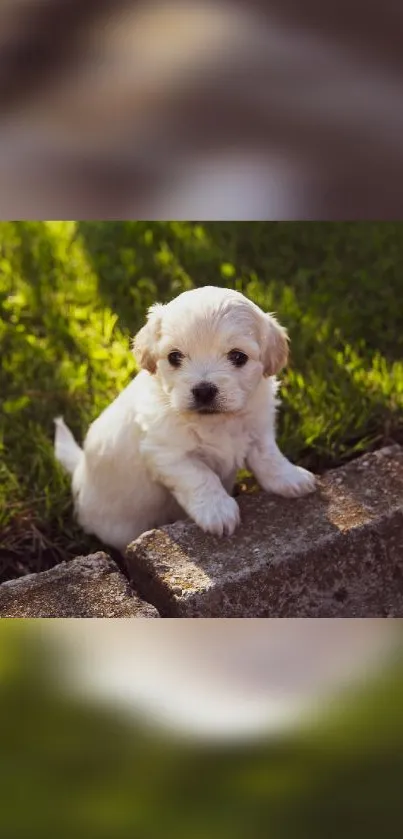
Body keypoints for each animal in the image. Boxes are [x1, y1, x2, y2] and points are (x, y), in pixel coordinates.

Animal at [55, 286, 318, 556]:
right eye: (174, 357)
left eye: (238, 356)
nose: (203, 390)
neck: (216, 422)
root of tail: (80, 471)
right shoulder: (168, 454)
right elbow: (201, 476)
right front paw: (218, 511)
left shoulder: (258, 430)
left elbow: (269, 457)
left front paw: (290, 478)